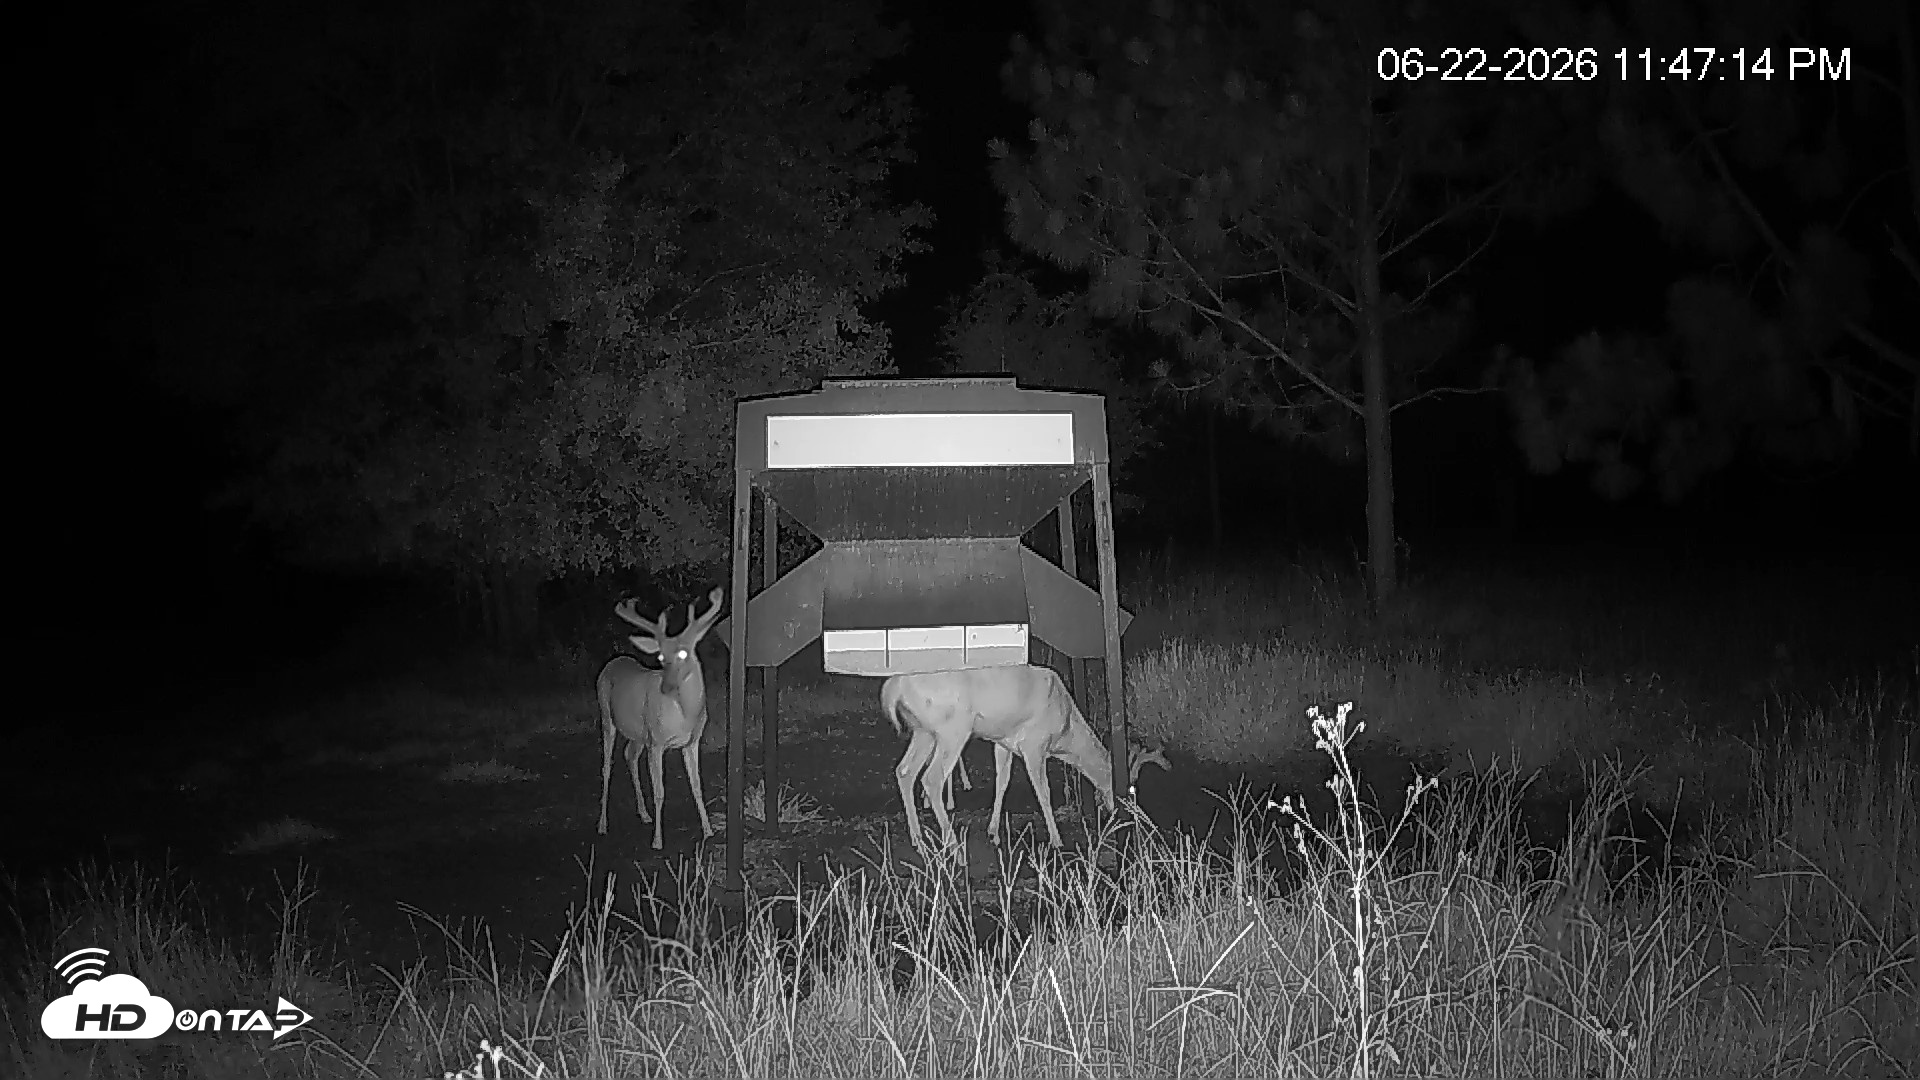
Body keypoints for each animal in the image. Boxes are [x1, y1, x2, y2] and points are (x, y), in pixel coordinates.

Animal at [595, 586, 724, 850]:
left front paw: (708, 830)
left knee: (629, 755)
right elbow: (660, 791)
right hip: (607, 716)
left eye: (684, 653)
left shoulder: (691, 742)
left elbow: (697, 785)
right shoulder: (657, 742)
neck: (685, 714)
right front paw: (657, 840)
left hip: (638, 733)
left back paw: (643, 814)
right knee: (606, 766)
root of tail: (612, 662)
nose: (666, 686)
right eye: (661, 658)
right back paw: (602, 825)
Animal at [881, 664, 1168, 852]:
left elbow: (1002, 782)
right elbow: (1043, 792)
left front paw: (993, 832)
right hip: (952, 729)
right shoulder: (1034, 744)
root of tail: (894, 688)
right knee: (931, 778)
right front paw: (1056, 839)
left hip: (923, 731)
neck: (1065, 729)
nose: (1130, 815)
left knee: (904, 771)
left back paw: (918, 840)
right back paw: (953, 846)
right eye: (1130, 787)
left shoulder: (1003, 743)